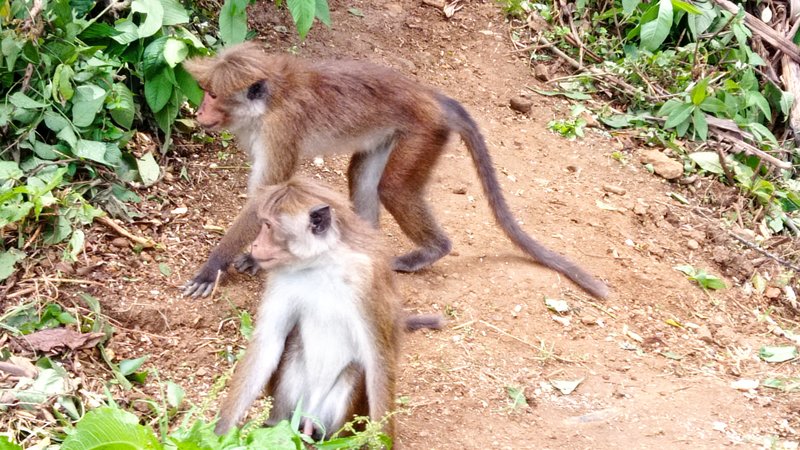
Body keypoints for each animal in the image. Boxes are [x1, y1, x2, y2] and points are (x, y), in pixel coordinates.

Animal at [180, 43, 608, 298]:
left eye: (213, 95)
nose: (199, 112)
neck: (269, 100)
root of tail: (431, 97)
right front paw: (253, 256)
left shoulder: (280, 128)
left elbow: (268, 196)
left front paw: (212, 267)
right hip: (391, 135)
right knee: (361, 176)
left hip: (423, 132)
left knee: (395, 189)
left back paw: (433, 249)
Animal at [216, 178, 440, 440]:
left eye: (268, 226)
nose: (255, 244)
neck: (322, 262)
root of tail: (310, 417)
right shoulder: (280, 277)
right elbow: (268, 342)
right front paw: (218, 435)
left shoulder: (367, 280)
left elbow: (378, 360)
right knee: (292, 347)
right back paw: (275, 426)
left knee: (357, 369)